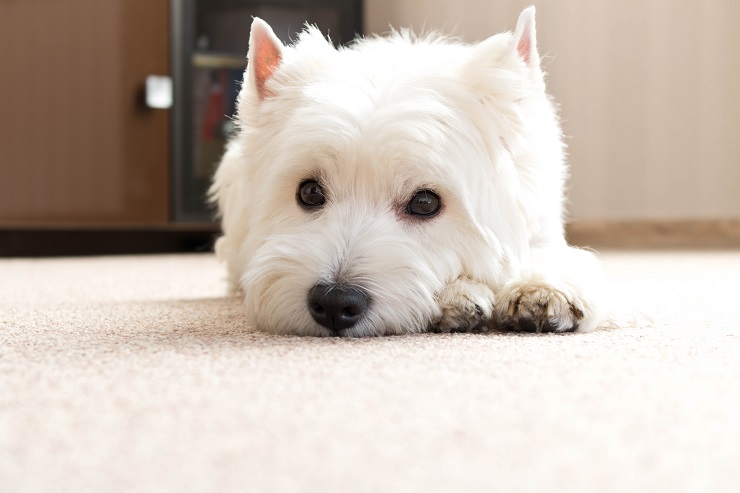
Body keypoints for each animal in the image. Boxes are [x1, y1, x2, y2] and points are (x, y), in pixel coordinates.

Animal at [211, 7, 604, 336]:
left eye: (426, 203)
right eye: (308, 192)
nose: (334, 303)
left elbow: (546, 253)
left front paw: (542, 288)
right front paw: (458, 296)